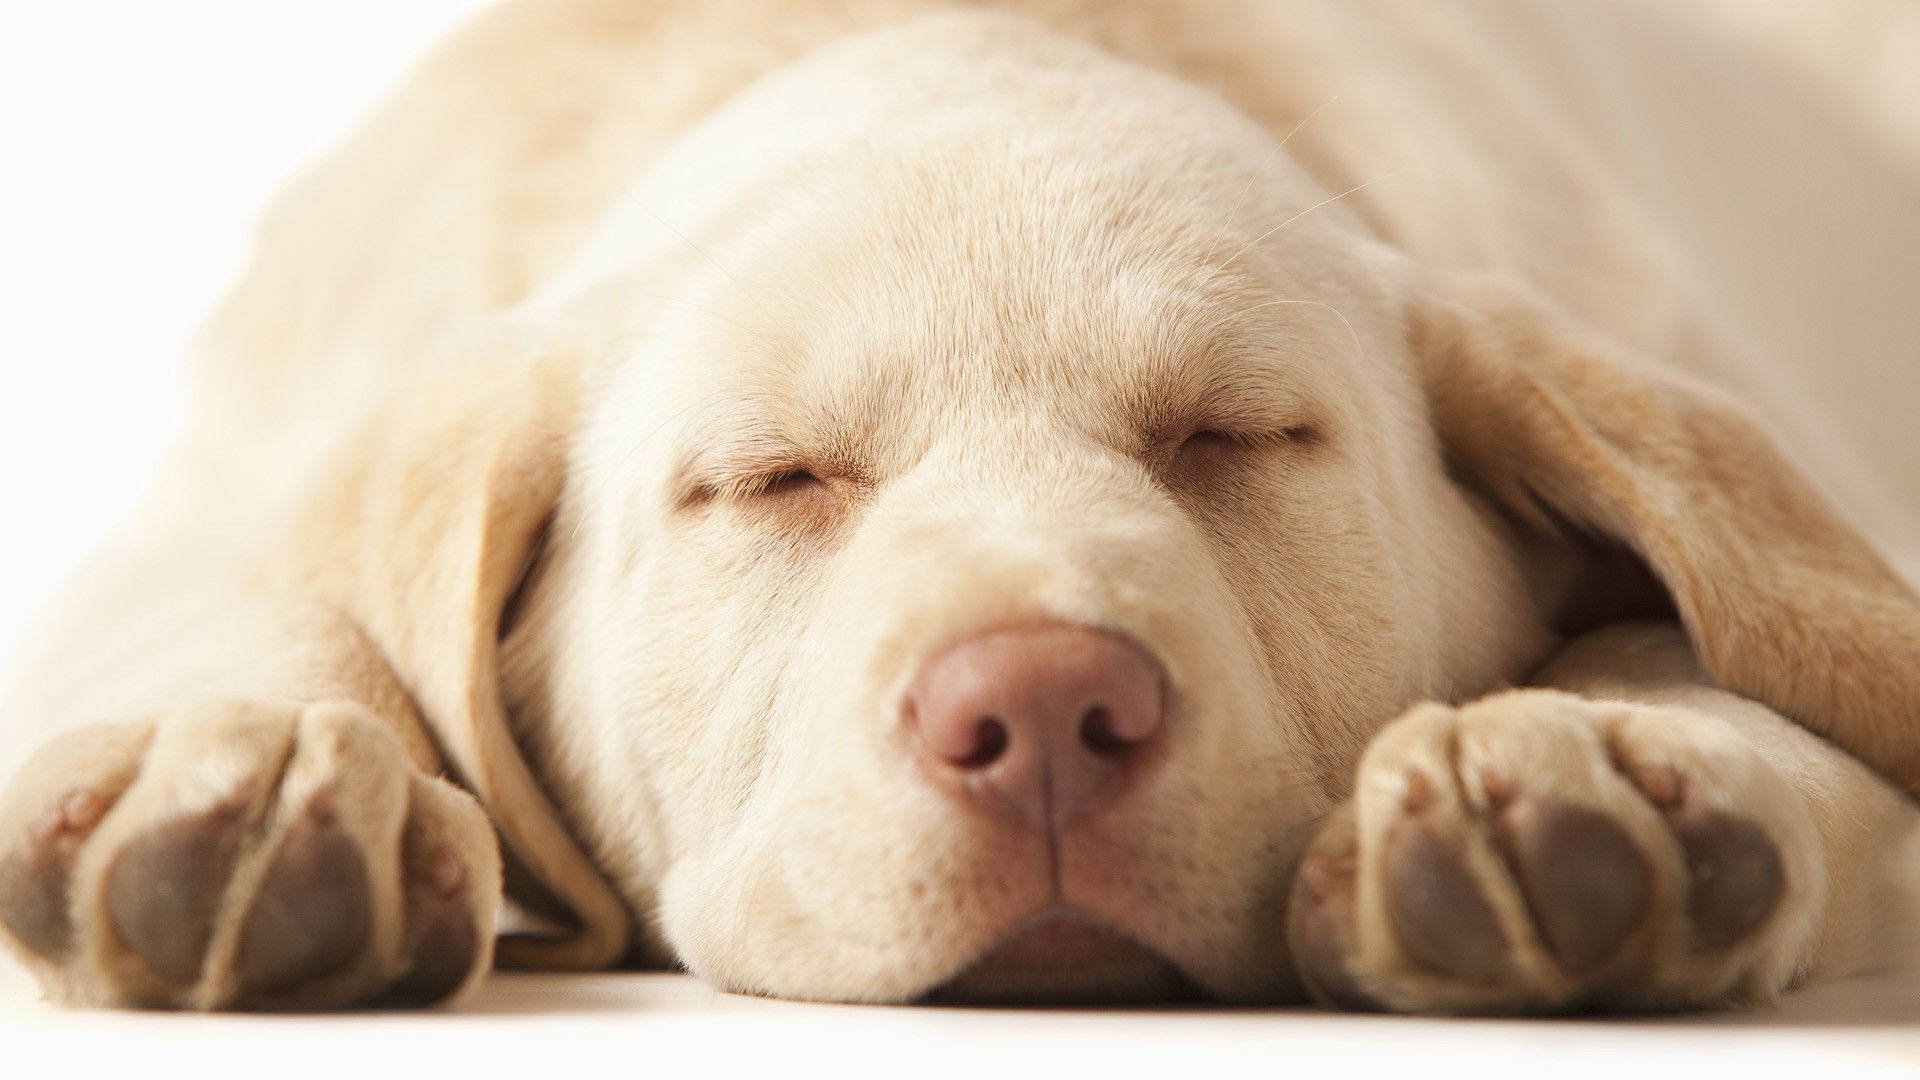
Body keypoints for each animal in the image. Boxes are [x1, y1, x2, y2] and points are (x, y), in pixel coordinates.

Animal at [3, 0, 1920, 1006]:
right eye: (772, 480)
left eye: (1231, 439)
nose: (1049, 714)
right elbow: (269, 592)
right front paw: (252, 754)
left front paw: (1610, 741)